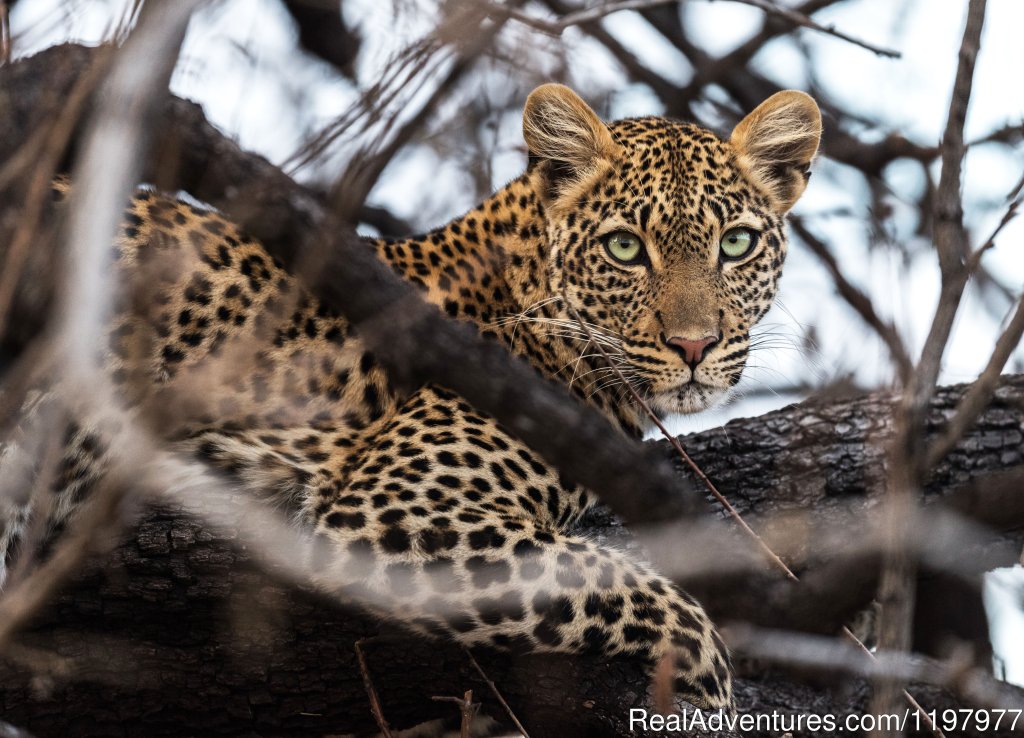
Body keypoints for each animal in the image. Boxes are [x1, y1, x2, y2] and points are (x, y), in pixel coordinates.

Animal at [0, 83, 815, 712]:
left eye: (736, 244)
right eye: (624, 249)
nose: (694, 346)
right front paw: (709, 688)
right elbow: (628, 583)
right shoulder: (394, 510)